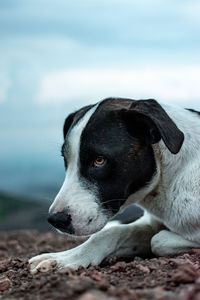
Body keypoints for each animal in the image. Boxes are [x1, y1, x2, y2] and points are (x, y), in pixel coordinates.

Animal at [28, 98, 200, 274]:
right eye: (65, 159)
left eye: (99, 160)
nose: (56, 220)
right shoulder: (150, 222)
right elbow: (108, 233)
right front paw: (64, 258)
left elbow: (159, 240)